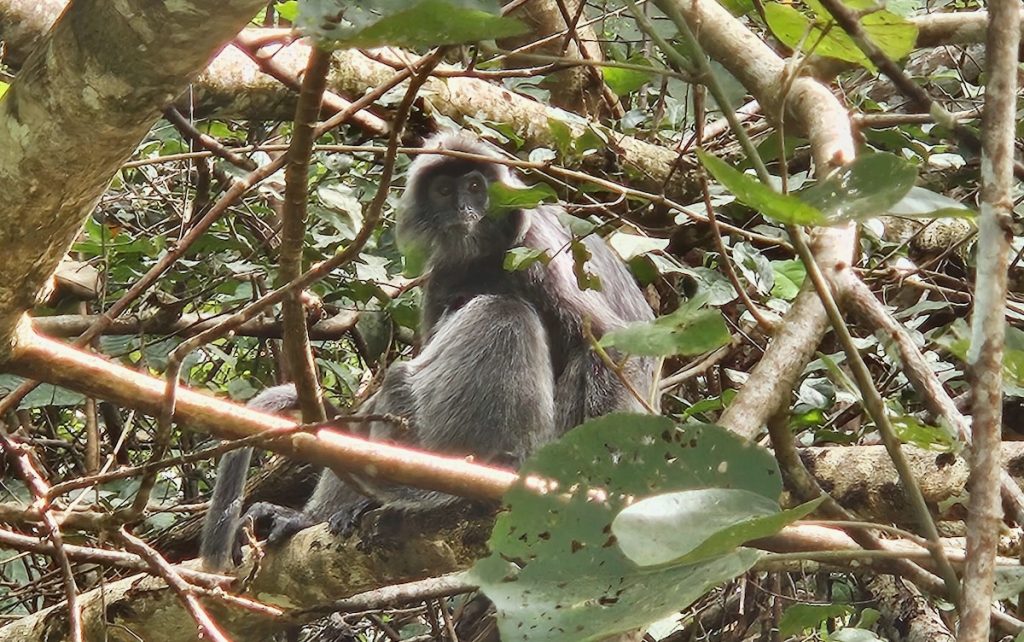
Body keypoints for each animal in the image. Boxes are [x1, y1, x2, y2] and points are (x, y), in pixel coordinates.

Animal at [200, 133, 657, 571]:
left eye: (474, 187)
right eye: (443, 190)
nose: (463, 210)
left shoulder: (539, 249)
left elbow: (613, 343)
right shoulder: (443, 275)